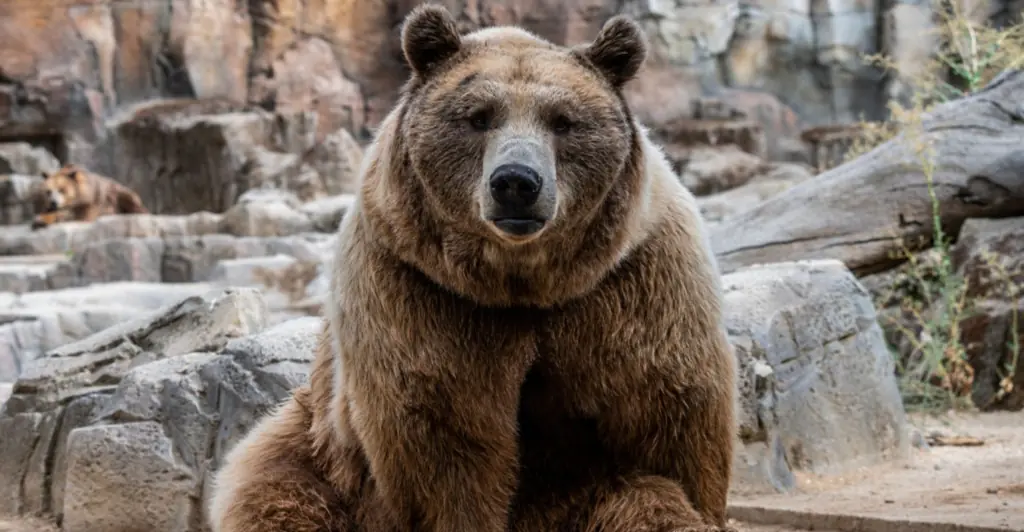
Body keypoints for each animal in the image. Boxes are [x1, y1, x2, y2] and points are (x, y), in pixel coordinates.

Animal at [208, 5, 737, 532]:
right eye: (478, 117)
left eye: (563, 121)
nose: (516, 182)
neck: (523, 280)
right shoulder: (422, 287)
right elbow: (447, 435)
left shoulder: (629, 280)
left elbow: (664, 420)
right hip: (313, 447)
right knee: (275, 491)